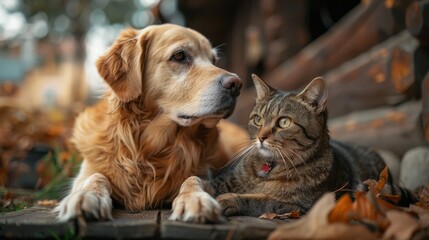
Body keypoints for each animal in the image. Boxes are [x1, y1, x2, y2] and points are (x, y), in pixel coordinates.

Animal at [54, 23, 247, 222]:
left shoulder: (206, 175)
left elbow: (193, 180)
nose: (236, 84)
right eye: (179, 55)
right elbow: (95, 177)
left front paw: (196, 198)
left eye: (214, 60)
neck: (149, 149)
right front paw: (86, 196)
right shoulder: (86, 173)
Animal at [207, 75, 414, 218]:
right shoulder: (224, 180)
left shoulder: (300, 206)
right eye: (257, 120)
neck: (269, 167)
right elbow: (205, 183)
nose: (260, 137)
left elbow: (261, 200)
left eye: (283, 122)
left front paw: (228, 200)